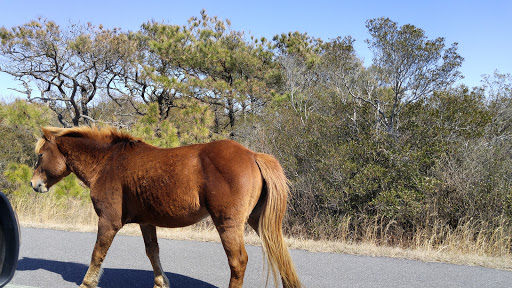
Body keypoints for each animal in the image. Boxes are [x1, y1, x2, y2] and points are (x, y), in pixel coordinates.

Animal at [31, 126, 300, 288]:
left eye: (40, 155)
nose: (34, 184)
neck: (109, 161)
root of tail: (252, 155)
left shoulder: (108, 221)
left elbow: (98, 253)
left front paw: (87, 283)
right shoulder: (146, 222)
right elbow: (153, 253)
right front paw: (161, 282)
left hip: (228, 223)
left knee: (238, 260)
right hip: (258, 221)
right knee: (278, 253)